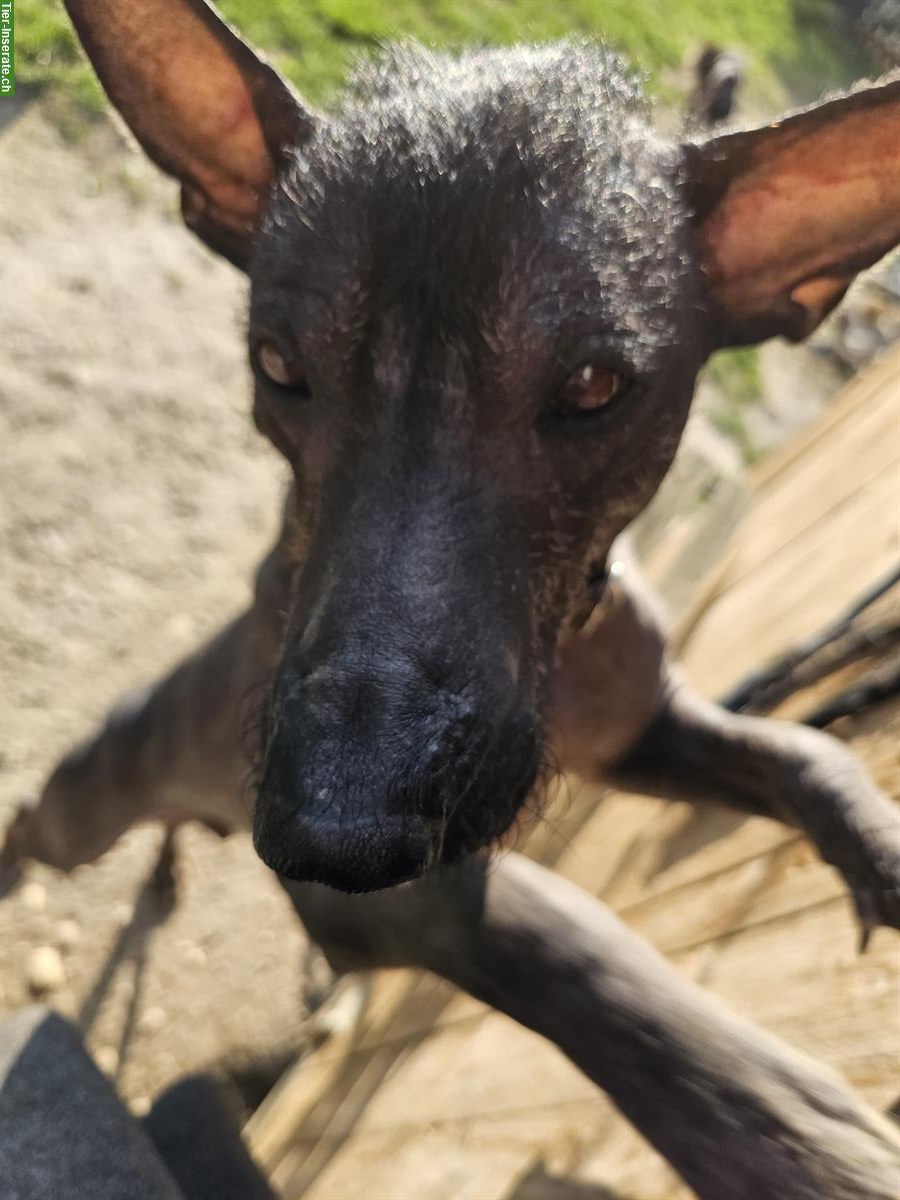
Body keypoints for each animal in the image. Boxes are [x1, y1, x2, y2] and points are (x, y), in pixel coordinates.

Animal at [5, 4, 900, 1195]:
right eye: (277, 365)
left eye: (594, 387)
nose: (333, 823)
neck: (570, 652)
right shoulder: (411, 899)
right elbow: (571, 952)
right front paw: (797, 1139)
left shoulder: (638, 737)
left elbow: (803, 752)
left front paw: (879, 846)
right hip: (86, 802)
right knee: (33, 820)